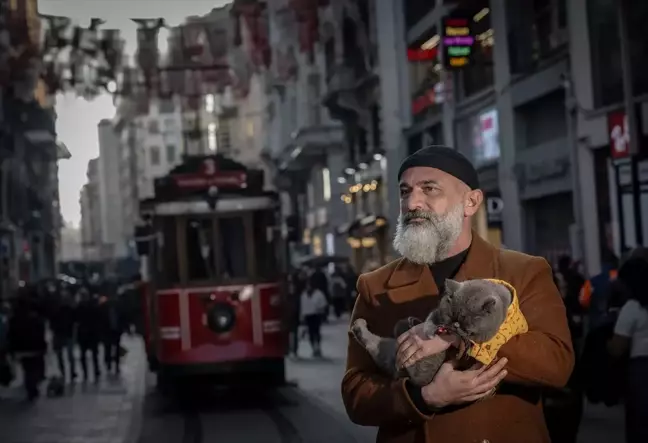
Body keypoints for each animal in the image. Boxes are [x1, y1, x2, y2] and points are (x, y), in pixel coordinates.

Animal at [352, 280, 512, 386]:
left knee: (374, 345)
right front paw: (429, 332)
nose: (454, 325)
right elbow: (430, 321)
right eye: (452, 315)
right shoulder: (437, 313)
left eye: (464, 321)